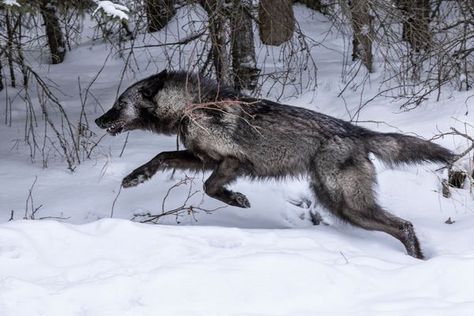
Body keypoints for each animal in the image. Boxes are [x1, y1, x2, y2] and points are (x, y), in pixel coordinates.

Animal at [94, 69, 454, 260]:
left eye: (119, 104)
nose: (99, 121)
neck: (191, 106)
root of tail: (356, 132)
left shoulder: (231, 161)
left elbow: (210, 187)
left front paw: (237, 200)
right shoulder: (201, 159)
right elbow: (160, 158)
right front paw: (136, 177)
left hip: (346, 204)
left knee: (403, 225)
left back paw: (416, 260)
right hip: (340, 205)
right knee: (400, 226)